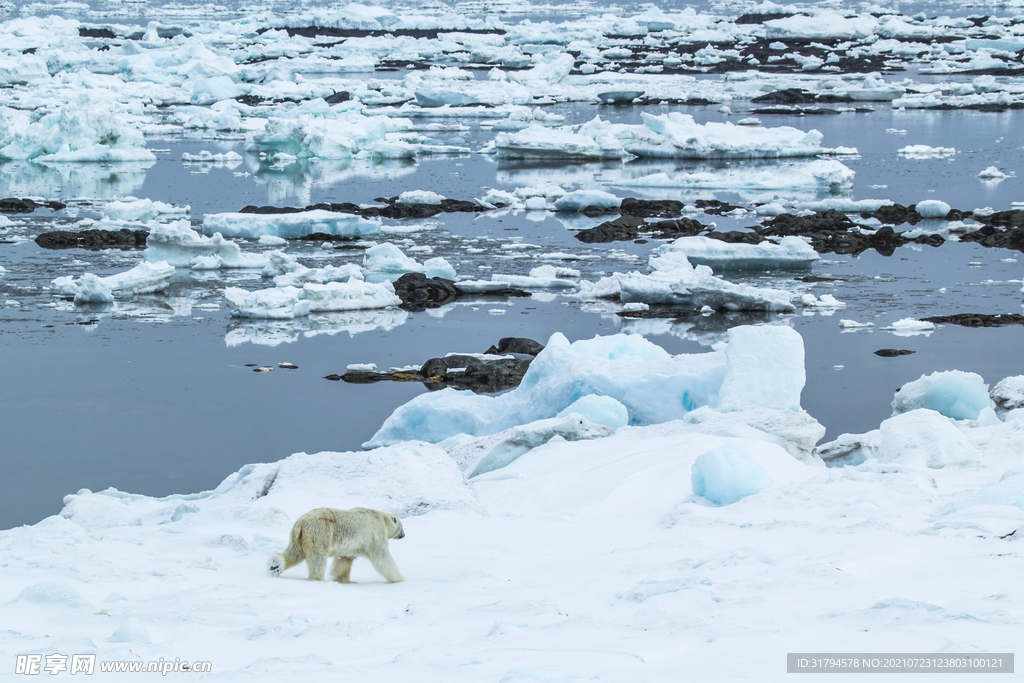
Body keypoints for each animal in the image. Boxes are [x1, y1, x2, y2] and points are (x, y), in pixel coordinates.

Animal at [268, 507, 403, 581]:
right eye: (402, 527)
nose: (403, 535)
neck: (380, 517)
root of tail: (301, 522)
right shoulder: (375, 532)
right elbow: (382, 557)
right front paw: (399, 578)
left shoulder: (351, 547)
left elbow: (344, 561)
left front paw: (343, 580)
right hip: (320, 532)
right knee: (318, 558)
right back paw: (317, 578)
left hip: (298, 538)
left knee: (294, 553)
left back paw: (275, 566)